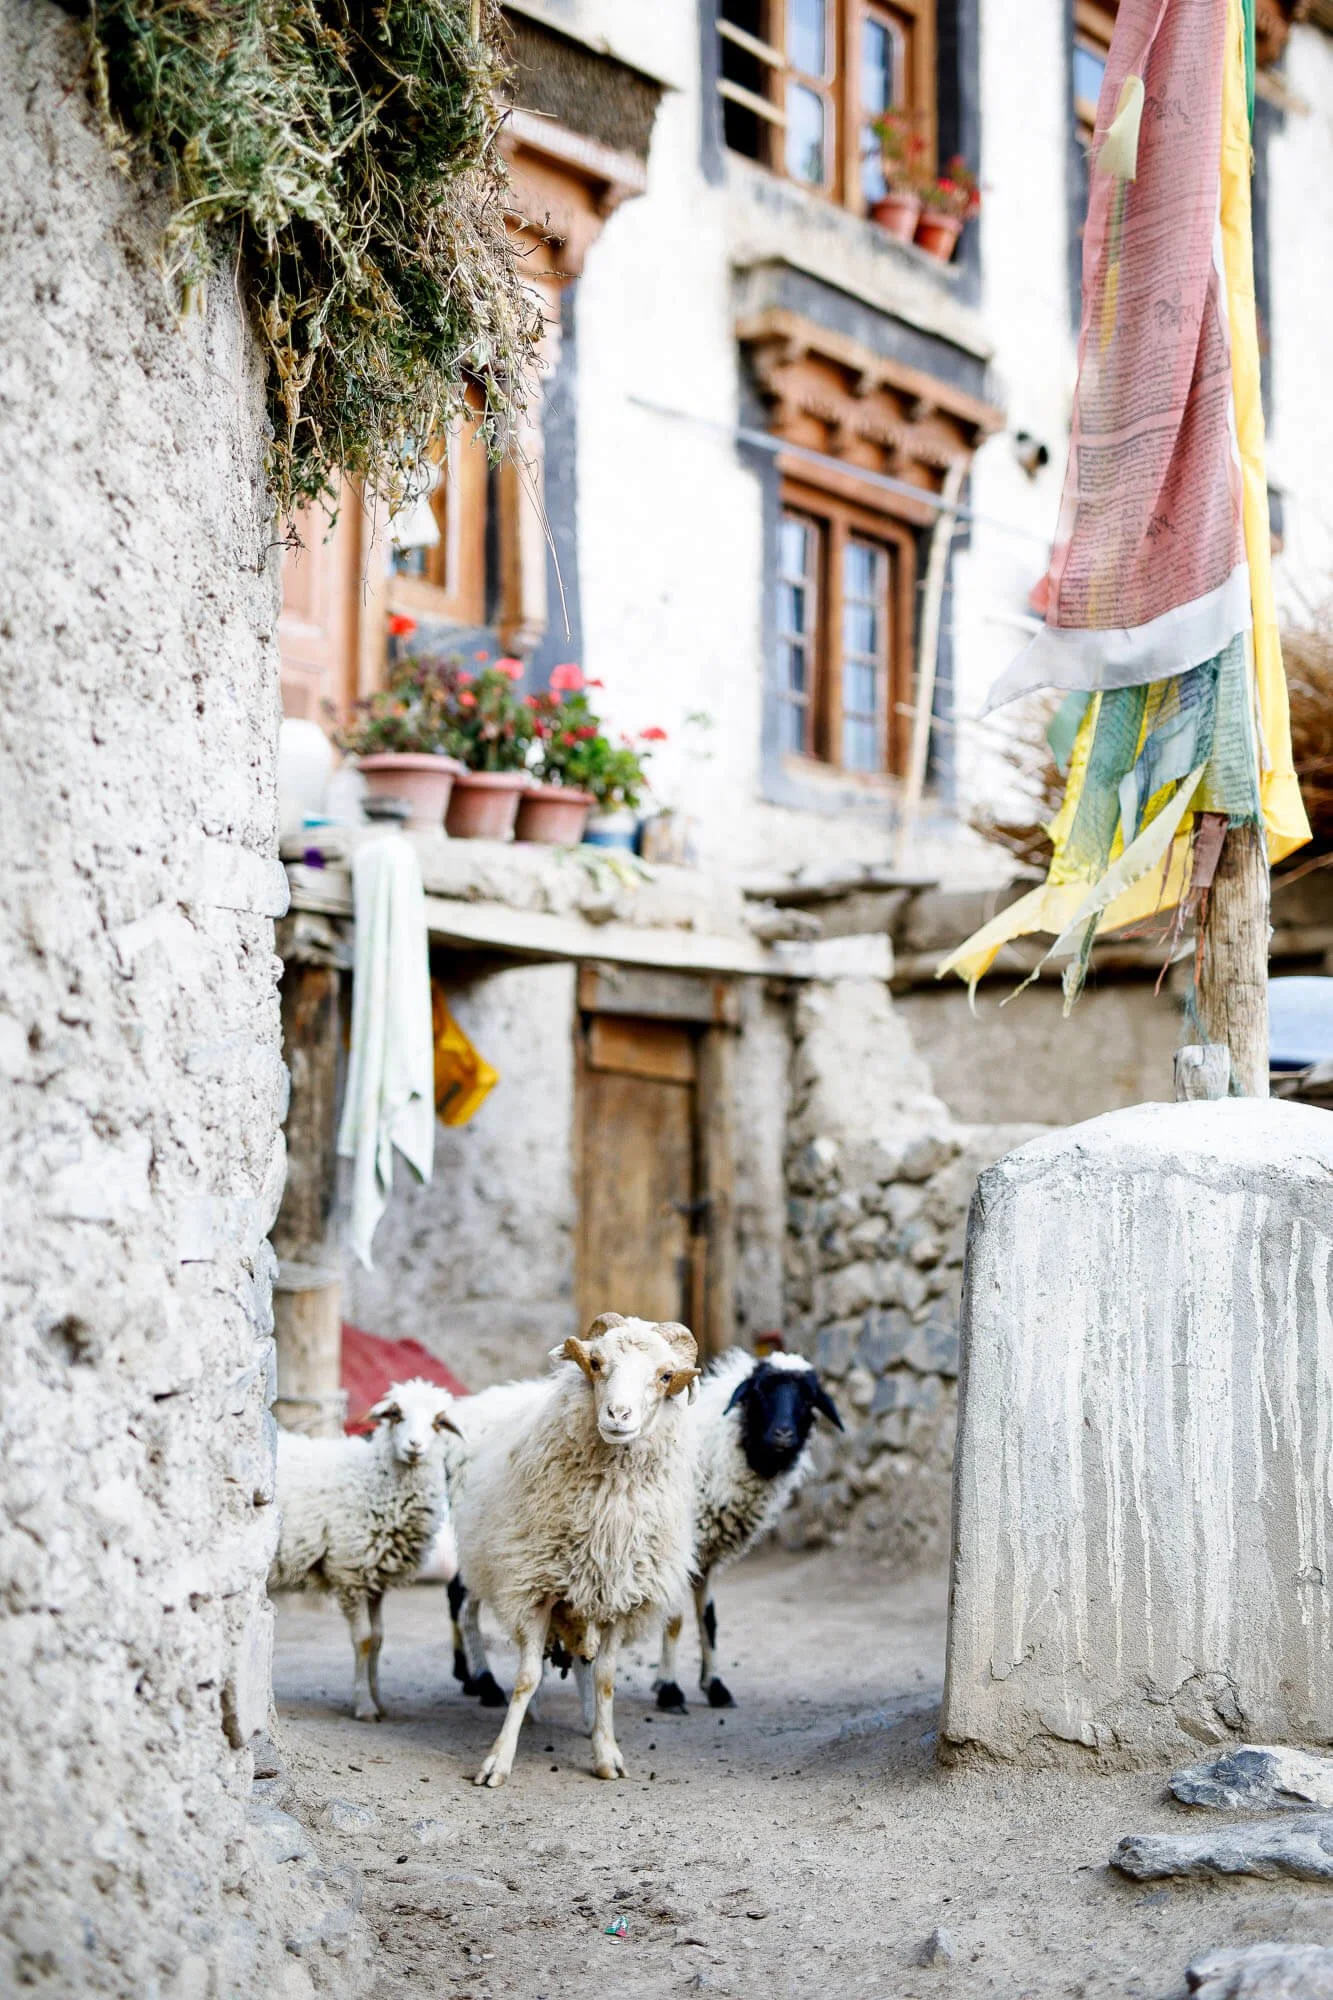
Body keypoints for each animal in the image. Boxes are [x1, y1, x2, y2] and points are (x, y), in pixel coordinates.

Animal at [268, 1377, 461, 1720]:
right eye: (396, 1414)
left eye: (438, 1422)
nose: (414, 1446)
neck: (372, 1481)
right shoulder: (350, 1571)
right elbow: (365, 1640)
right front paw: (365, 1705)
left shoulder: (376, 1578)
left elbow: (381, 1637)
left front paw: (379, 1700)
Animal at [450, 1313, 700, 1788]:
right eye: (597, 1363)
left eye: (665, 1376)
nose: (618, 1415)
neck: (606, 1515)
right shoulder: (536, 1587)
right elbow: (526, 1677)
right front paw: (498, 1761)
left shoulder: (621, 1597)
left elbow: (604, 1679)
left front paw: (607, 1754)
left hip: (585, 1596)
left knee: (585, 1663)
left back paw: (589, 1721)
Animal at [653, 1349, 843, 1713]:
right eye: (759, 1392)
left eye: (808, 1398)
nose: (783, 1435)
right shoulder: (680, 1550)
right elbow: (674, 1620)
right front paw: (669, 1691)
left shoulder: (705, 1556)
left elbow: (709, 1621)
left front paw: (714, 1686)